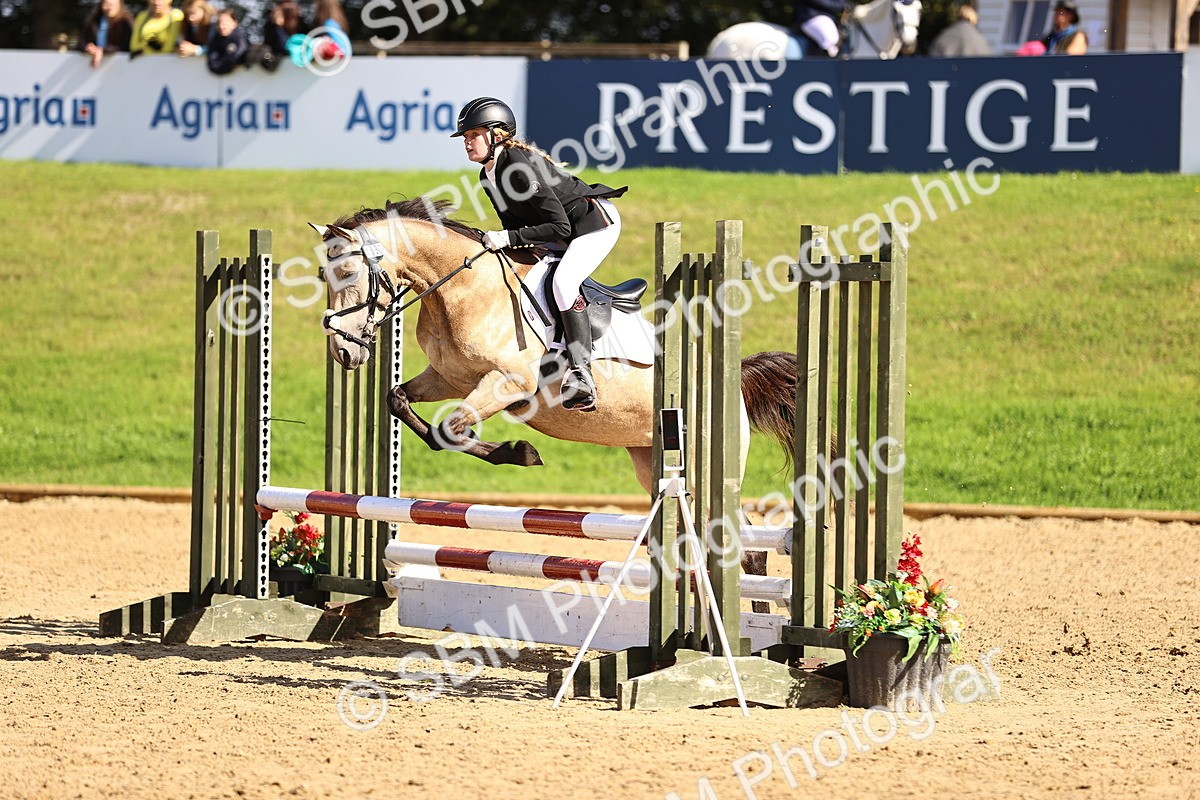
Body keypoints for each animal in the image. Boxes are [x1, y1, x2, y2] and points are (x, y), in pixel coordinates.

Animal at [308, 198, 802, 607]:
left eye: (349, 274)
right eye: (321, 277)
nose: (344, 352)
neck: (465, 288)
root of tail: (731, 379)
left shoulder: (506, 382)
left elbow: (448, 430)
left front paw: (519, 452)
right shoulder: (448, 378)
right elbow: (402, 404)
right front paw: (517, 452)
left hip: (701, 466)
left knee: (743, 549)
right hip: (652, 463)